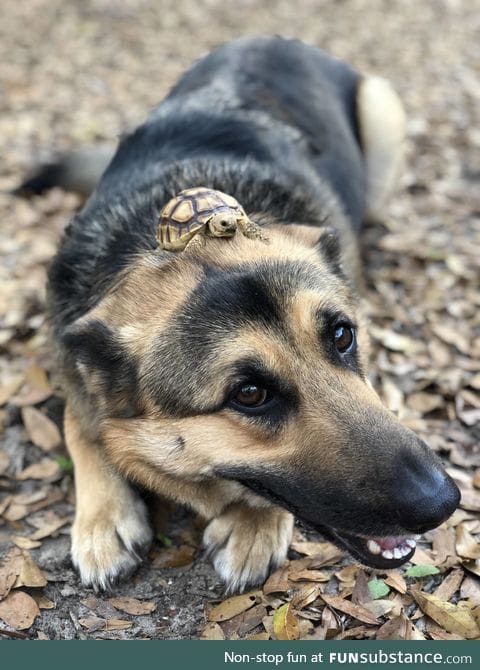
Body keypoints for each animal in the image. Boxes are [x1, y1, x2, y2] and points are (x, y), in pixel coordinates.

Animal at [21, 38, 458, 592]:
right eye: (249, 394)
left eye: (342, 337)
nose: (444, 502)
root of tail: (276, 39)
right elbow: (80, 422)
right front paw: (104, 517)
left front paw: (254, 523)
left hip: (382, 110)